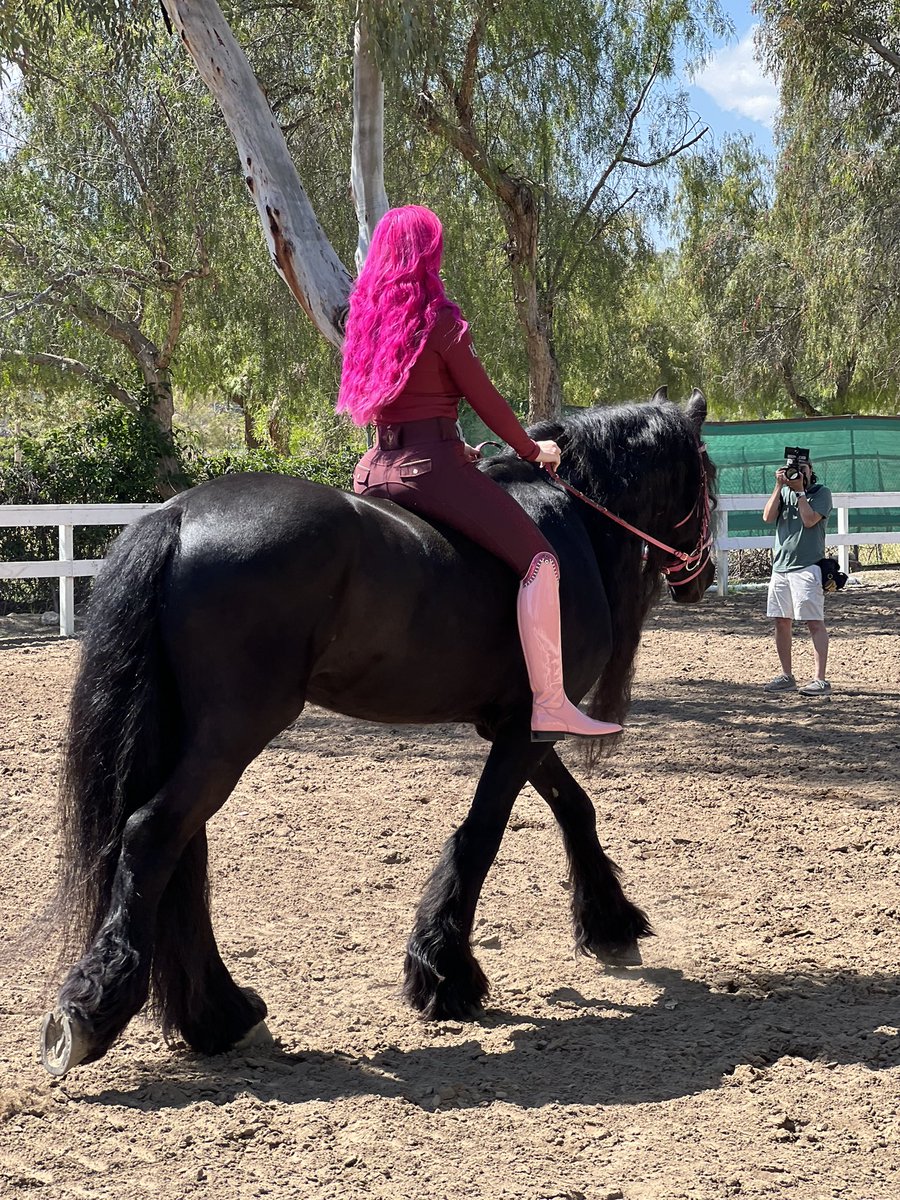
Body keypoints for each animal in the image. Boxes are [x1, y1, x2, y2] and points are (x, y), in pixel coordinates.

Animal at [40, 388, 716, 1076]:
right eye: (708, 477)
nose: (703, 576)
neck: (571, 520)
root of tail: (177, 515)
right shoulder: (527, 726)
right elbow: (484, 833)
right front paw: (445, 974)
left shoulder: (518, 722)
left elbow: (573, 807)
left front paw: (610, 923)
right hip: (233, 733)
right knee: (154, 834)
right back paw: (97, 1012)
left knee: (178, 848)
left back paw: (217, 1015)